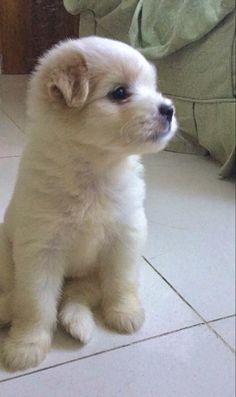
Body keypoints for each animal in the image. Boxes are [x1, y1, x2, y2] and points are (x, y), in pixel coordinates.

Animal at [0, 35, 177, 370]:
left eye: (153, 87)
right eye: (119, 93)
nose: (169, 109)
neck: (95, 169)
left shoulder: (125, 239)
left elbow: (120, 283)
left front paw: (124, 313)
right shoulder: (39, 251)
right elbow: (35, 305)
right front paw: (26, 345)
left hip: (91, 276)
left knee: (77, 297)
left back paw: (76, 323)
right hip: (5, 252)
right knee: (17, 293)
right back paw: (6, 311)